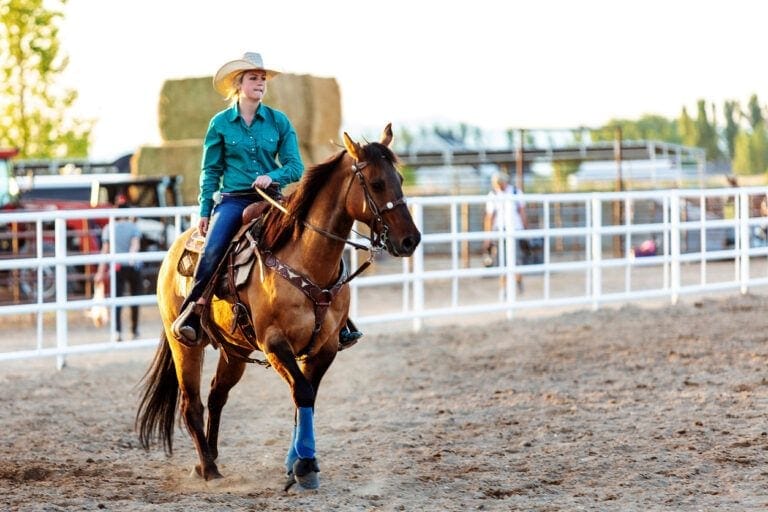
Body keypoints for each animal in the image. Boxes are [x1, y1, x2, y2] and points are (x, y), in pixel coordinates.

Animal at [135, 123, 421, 490]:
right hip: (185, 344)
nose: (410, 240)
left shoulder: (325, 347)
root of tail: (175, 249)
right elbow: (302, 392)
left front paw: (295, 462)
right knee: (191, 403)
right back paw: (209, 469)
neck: (307, 263)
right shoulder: (275, 345)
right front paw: (305, 466)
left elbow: (306, 397)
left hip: (235, 350)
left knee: (216, 396)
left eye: (398, 178)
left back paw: (208, 459)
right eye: (375, 183)